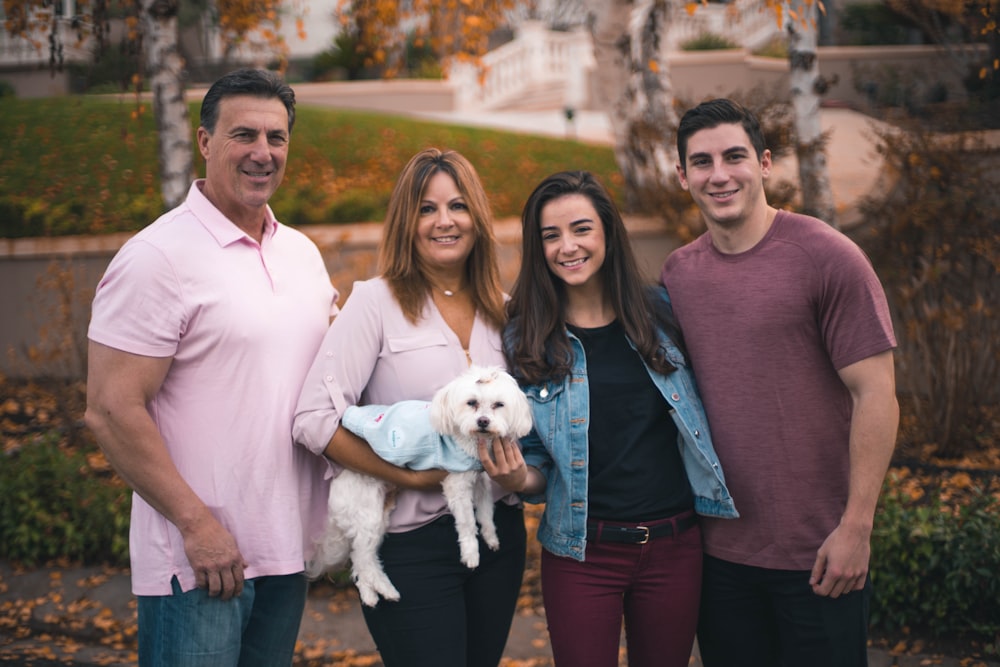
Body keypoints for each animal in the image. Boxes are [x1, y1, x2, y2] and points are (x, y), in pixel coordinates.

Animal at [308, 368, 536, 608]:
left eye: (499, 405)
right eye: (471, 402)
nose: (483, 421)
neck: (472, 440)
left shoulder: (479, 478)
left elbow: (485, 510)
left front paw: (491, 536)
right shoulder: (456, 484)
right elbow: (466, 522)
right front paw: (471, 554)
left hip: (380, 515)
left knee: (361, 559)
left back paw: (371, 594)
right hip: (367, 511)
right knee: (363, 558)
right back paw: (386, 590)